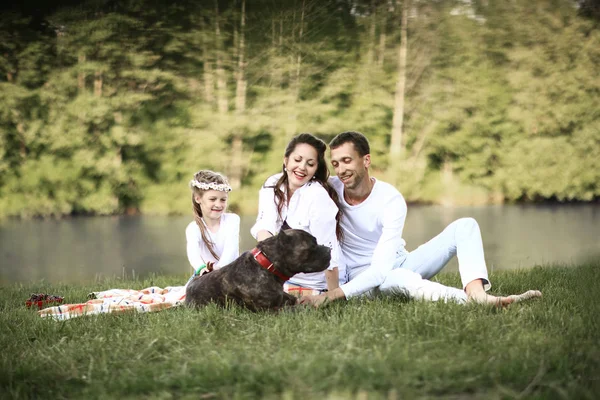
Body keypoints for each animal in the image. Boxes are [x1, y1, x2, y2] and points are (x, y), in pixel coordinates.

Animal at [184, 230, 330, 310]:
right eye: (313, 245)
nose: (329, 249)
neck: (267, 265)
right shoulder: (271, 310)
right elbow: (297, 309)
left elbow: (293, 299)